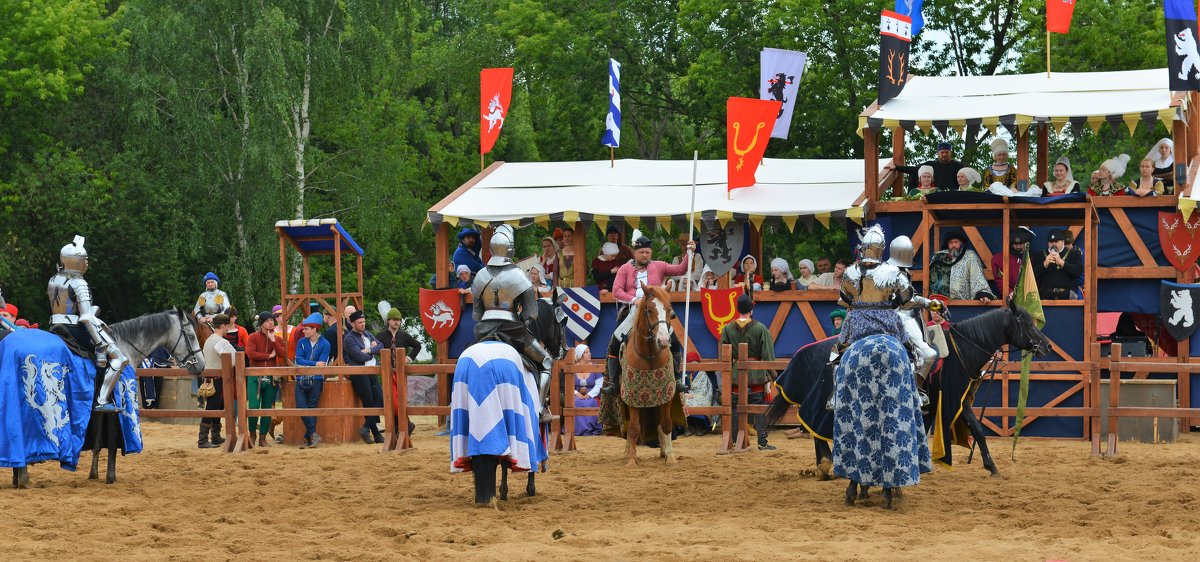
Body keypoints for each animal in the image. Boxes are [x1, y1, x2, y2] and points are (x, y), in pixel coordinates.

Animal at [8, 307, 205, 487]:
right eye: (191, 336)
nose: (201, 365)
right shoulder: (114, 410)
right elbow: (111, 444)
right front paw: (111, 477)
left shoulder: (98, 410)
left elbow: (97, 441)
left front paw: (93, 474)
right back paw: (23, 479)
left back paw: (16, 478)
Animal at [619, 283, 686, 468]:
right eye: (649, 310)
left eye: (669, 309)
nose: (663, 340)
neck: (648, 354)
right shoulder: (632, 398)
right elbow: (634, 427)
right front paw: (632, 460)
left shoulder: (666, 395)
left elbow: (666, 424)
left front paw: (670, 456)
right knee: (629, 426)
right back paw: (628, 452)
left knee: (659, 424)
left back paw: (663, 450)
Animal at [768, 300, 1051, 485]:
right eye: (1026, 323)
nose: (1046, 346)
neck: (962, 348)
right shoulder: (944, 399)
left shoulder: (960, 403)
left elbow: (978, 431)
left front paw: (992, 468)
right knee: (816, 427)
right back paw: (827, 466)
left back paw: (826, 468)